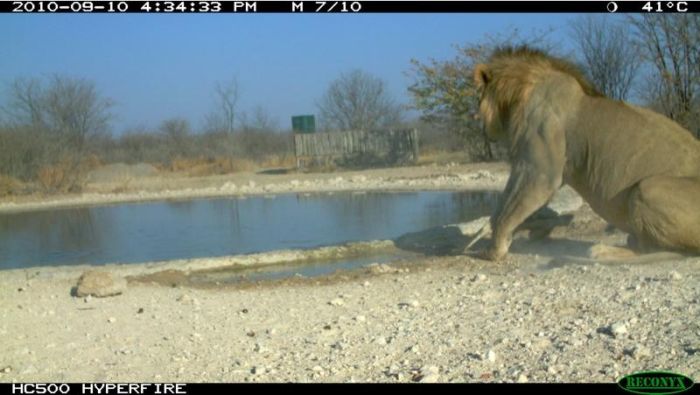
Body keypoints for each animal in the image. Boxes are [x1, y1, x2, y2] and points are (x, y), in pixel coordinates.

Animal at [468, 46, 700, 262]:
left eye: (478, 97)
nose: (476, 118)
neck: (515, 98)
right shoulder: (529, 165)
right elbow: (504, 204)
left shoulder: (541, 172)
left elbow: (507, 213)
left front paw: (494, 250)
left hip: (647, 188)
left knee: (653, 249)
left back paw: (602, 251)